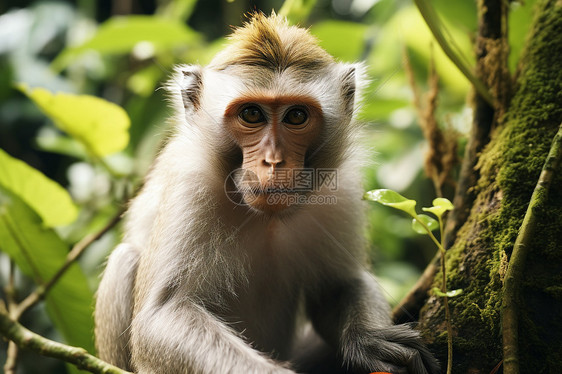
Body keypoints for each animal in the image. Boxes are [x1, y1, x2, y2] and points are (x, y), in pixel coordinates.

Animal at [94, 11, 440, 374]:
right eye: (251, 114)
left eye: (296, 116)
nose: (273, 161)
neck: (266, 217)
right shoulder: (190, 186)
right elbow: (162, 315)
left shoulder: (341, 190)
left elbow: (340, 285)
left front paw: (369, 339)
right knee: (124, 259)